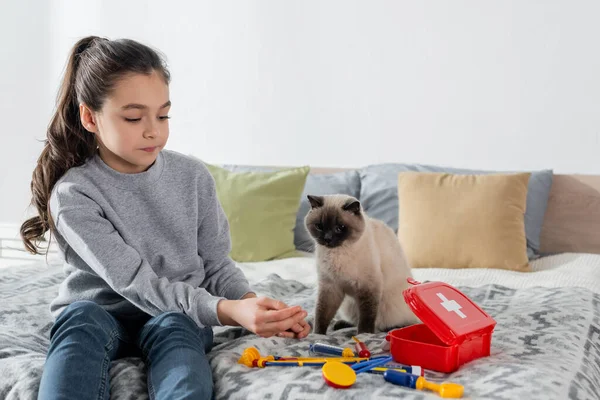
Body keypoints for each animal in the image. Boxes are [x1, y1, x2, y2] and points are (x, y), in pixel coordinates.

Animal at [304, 194, 418, 334]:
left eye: (340, 228)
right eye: (319, 226)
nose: (327, 239)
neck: (337, 254)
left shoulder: (367, 287)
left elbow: (366, 317)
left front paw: (364, 334)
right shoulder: (330, 287)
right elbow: (322, 315)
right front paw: (318, 334)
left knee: (396, 324)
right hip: (349, 304)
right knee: (355, 320)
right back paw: (340, 324)